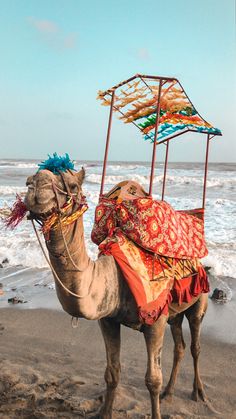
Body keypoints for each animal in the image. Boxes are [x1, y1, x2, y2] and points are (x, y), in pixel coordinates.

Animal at [24, 168, 207, 419]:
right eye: (30, 179)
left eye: (72, 185)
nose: (35, 184)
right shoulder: (108, 320)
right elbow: (112, 373)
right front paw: (104, 413)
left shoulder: (155, 319)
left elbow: (152, 380)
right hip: (175, 313)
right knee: (179, 346)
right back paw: (169, 393)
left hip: (198, 301)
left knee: (196, 346)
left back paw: (199, 393)